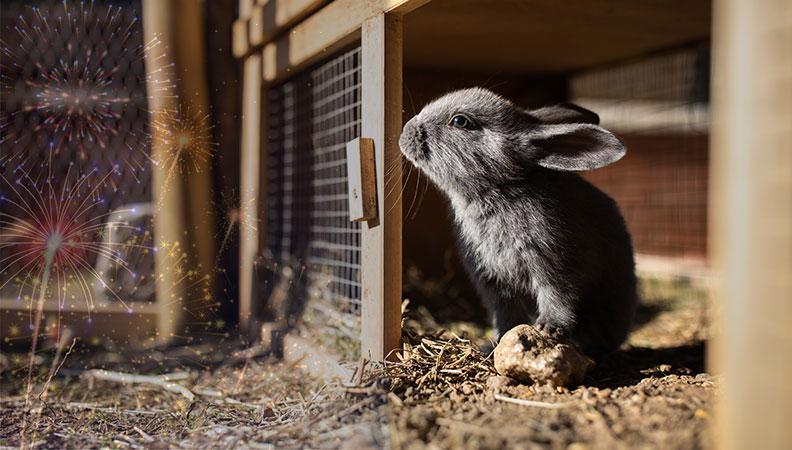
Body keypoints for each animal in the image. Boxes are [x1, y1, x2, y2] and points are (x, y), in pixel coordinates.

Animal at [398, 87, 637, 358]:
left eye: (460, 121)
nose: (405, 131)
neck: (497, 191)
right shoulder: (495, 285)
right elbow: (506, 317)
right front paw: (496, 344)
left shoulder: (555, 266)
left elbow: (558, 298)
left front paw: (548, 328)